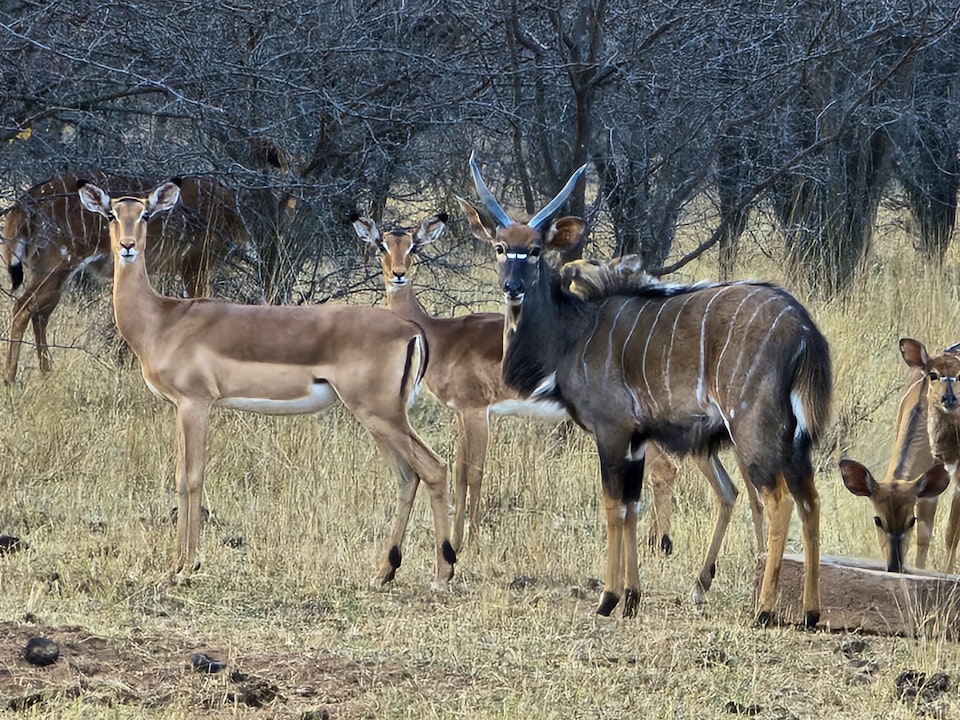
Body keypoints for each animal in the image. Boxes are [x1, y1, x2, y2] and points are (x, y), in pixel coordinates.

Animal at [0, 172, 248, 386]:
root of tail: (26, 204)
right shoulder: (196, 262)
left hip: (49, 270)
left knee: (39, 313)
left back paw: (46, 372)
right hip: (57, 263)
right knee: (22, 307)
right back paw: (10, 378)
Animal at [77, 179, 456, 584]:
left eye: (146, 214)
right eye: (112, 214)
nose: (127, 246)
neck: (163, 319)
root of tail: (411, 330)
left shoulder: (196, 404)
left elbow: (192, 476)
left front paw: (188, 564)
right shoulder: (180, 407)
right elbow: (179, 477)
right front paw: (176, 562)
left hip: (380, 415)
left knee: (433, 468)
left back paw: (442, 573)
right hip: (379, 419)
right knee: (407, 476)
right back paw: (384, 571)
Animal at [352, 214, 684, 552]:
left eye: (413, 247)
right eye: (381, 245)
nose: (399, 275)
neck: (440, 335)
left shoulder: (476, 411)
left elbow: (474, 474)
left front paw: (468, 544)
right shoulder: (461, 413)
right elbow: (459, 473)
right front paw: (457, 541)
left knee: (664, 469)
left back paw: (660, 543)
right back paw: (654, 540)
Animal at [460, 156, 832, 624]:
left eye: (534, 250)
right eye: (499, 246)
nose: (513, 287)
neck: (573, 332)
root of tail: (804, 327)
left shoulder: (611, 431)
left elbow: (612, 507)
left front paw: (608, 599)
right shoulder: (637, 441)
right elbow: (633, 508)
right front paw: (633, 598)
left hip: (753, 429)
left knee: (778, 500)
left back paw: (763, 610)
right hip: (794, 439)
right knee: (810, 500)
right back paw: (811, 613)